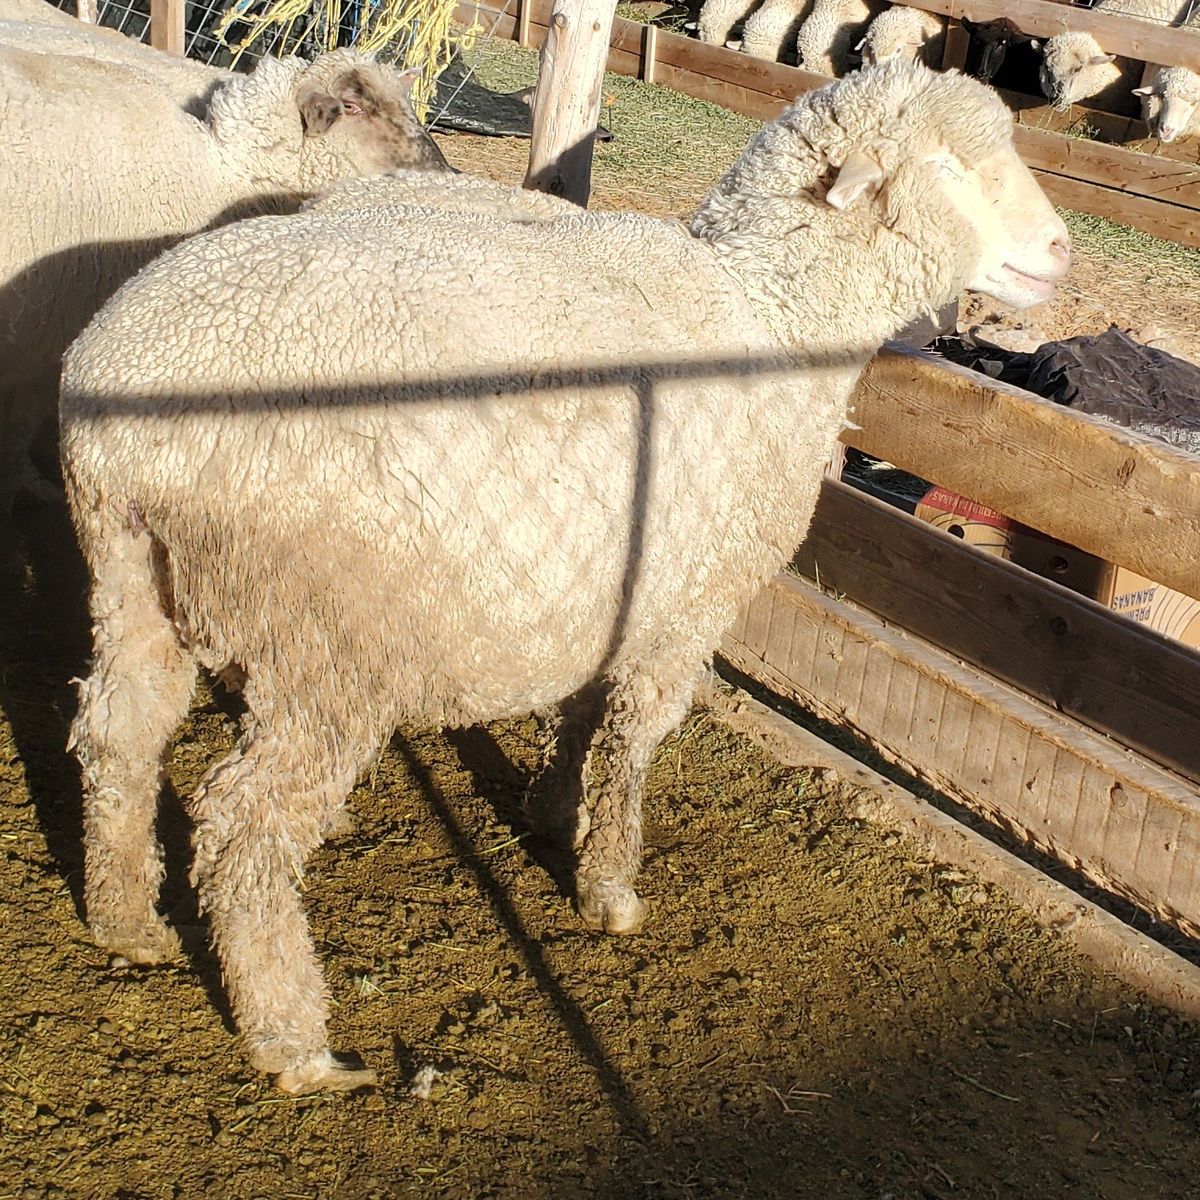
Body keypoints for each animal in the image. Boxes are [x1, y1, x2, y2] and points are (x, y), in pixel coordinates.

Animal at [60, 60, 1070, 1094]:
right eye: (947, 166)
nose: (1060, 249)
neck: (772, 317)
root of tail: (135, 407)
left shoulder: (610, 579)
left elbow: (583, 715)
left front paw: (552, 814)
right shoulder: (688, 604)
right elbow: (634, 741)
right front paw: (610, 887)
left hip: (132, 581)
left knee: (116, 736)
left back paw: (126, 920)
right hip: (330, 641)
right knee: (243, 822)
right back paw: (293, 1039)